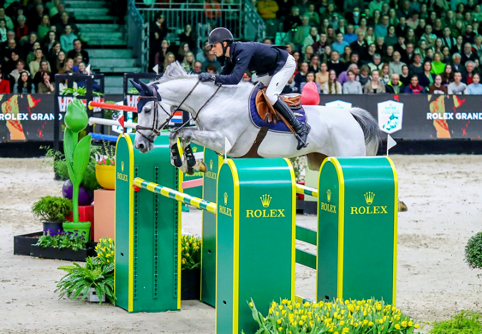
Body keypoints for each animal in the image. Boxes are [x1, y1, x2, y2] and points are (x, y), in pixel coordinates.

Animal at [131, 62, 380, 176]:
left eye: (146, 110)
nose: (140, 145)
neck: (214, 101)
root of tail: (350, 114)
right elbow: (178, 133)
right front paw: (185, 162)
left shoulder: (224, 142)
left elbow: (184, 132)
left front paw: (187, 161)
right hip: (319, 160)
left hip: (349, 156)